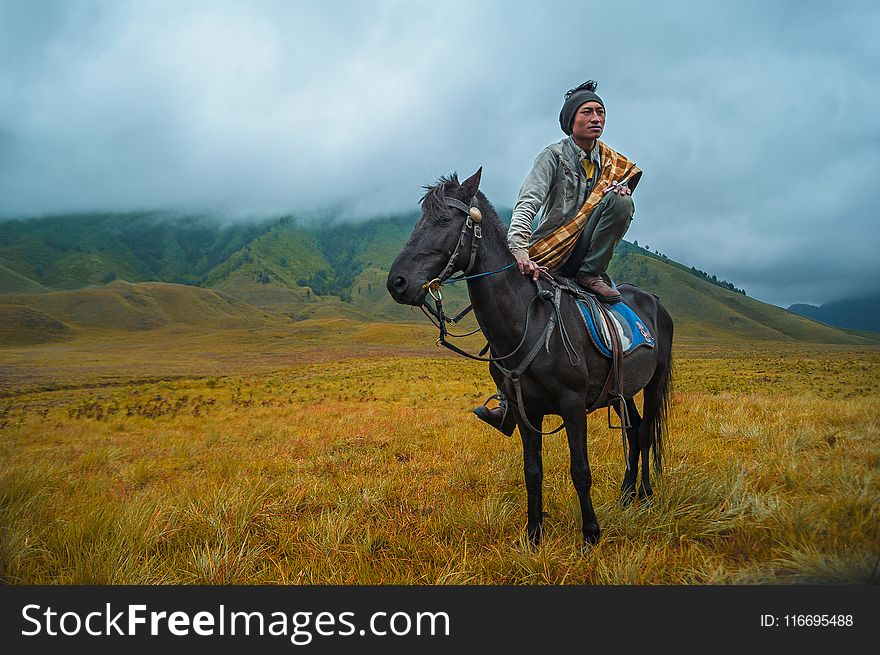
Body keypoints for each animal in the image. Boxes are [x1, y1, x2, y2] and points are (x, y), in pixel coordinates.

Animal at [386, 169, 672, 548]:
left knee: (645, 434)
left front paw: (590, 535)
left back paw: (647, 496)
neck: (527, 320)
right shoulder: (524, 410)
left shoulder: (572, 405)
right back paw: (626, 495)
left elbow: (580, 470)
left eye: (443, 220)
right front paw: (533, 535)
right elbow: (532, 471)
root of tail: (653, 301)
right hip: (620, 392)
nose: (397, 283)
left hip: (655, 382)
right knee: (636, 428)